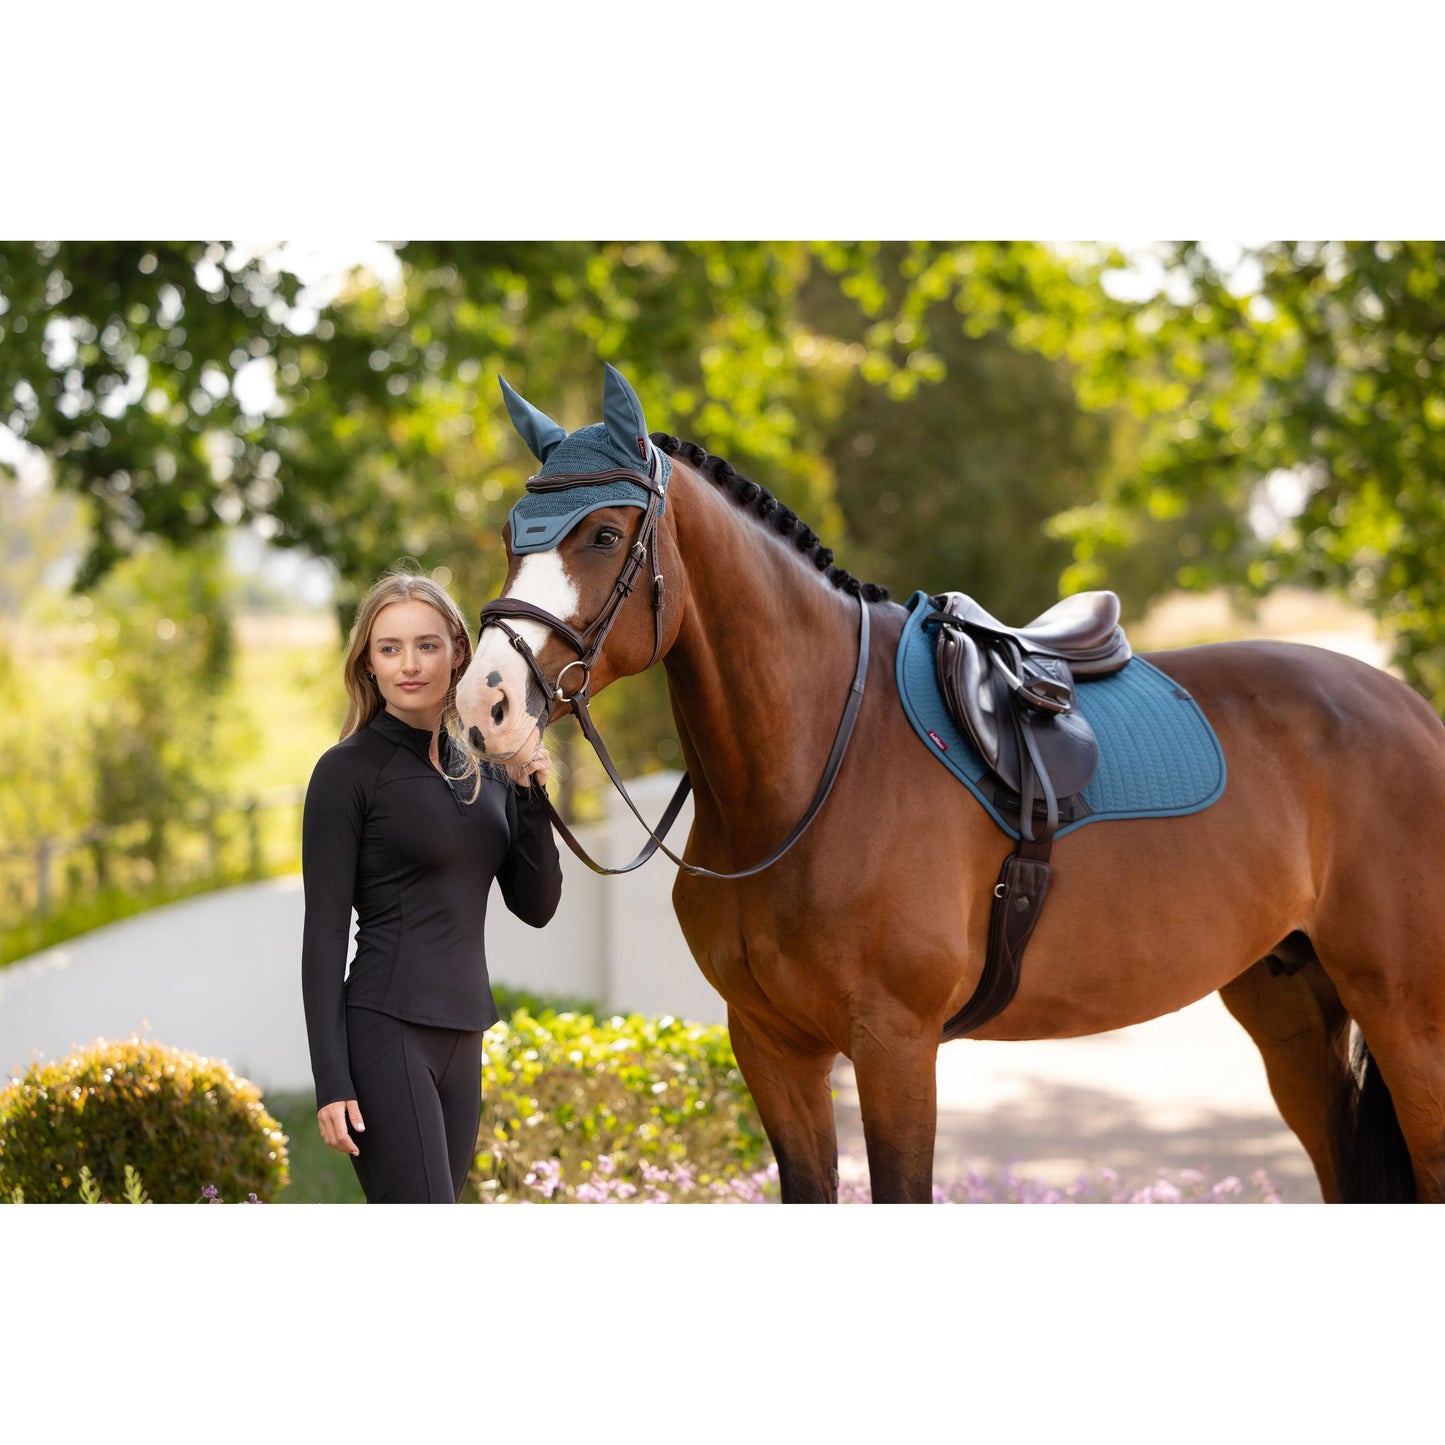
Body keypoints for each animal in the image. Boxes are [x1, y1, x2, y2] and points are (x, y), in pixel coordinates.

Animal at [456, 364, 1445, 1204]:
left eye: (604, 533)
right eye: (510, 535)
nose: (483, 701)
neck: (814, 765)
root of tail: (1409, 711)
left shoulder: (895, 1045)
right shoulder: (772, 1045)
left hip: (1406, 1016)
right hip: (1292, 1012)